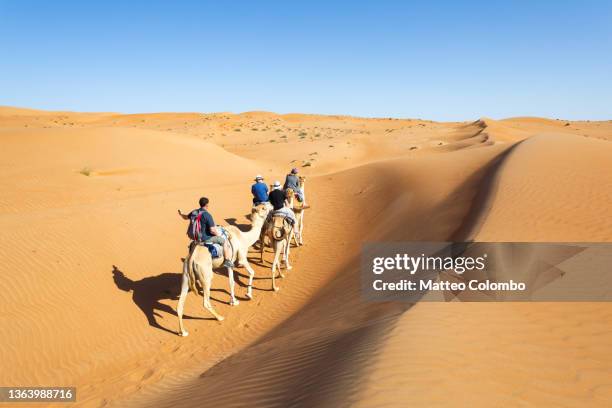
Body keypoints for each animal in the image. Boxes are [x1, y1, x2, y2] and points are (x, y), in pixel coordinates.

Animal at [178, 202, 272, 336]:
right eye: (263, 207)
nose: (270, 204)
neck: (244, 237)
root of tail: (192, 258)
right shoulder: (241, 257)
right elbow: (251, 272)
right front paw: (248, 295)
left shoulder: (229, 263)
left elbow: (231, 282)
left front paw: (234, 301)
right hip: (206, 275)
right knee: (205, 301)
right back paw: (219, 317)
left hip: (185, 275)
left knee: (180, 305)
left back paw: (183, 332)